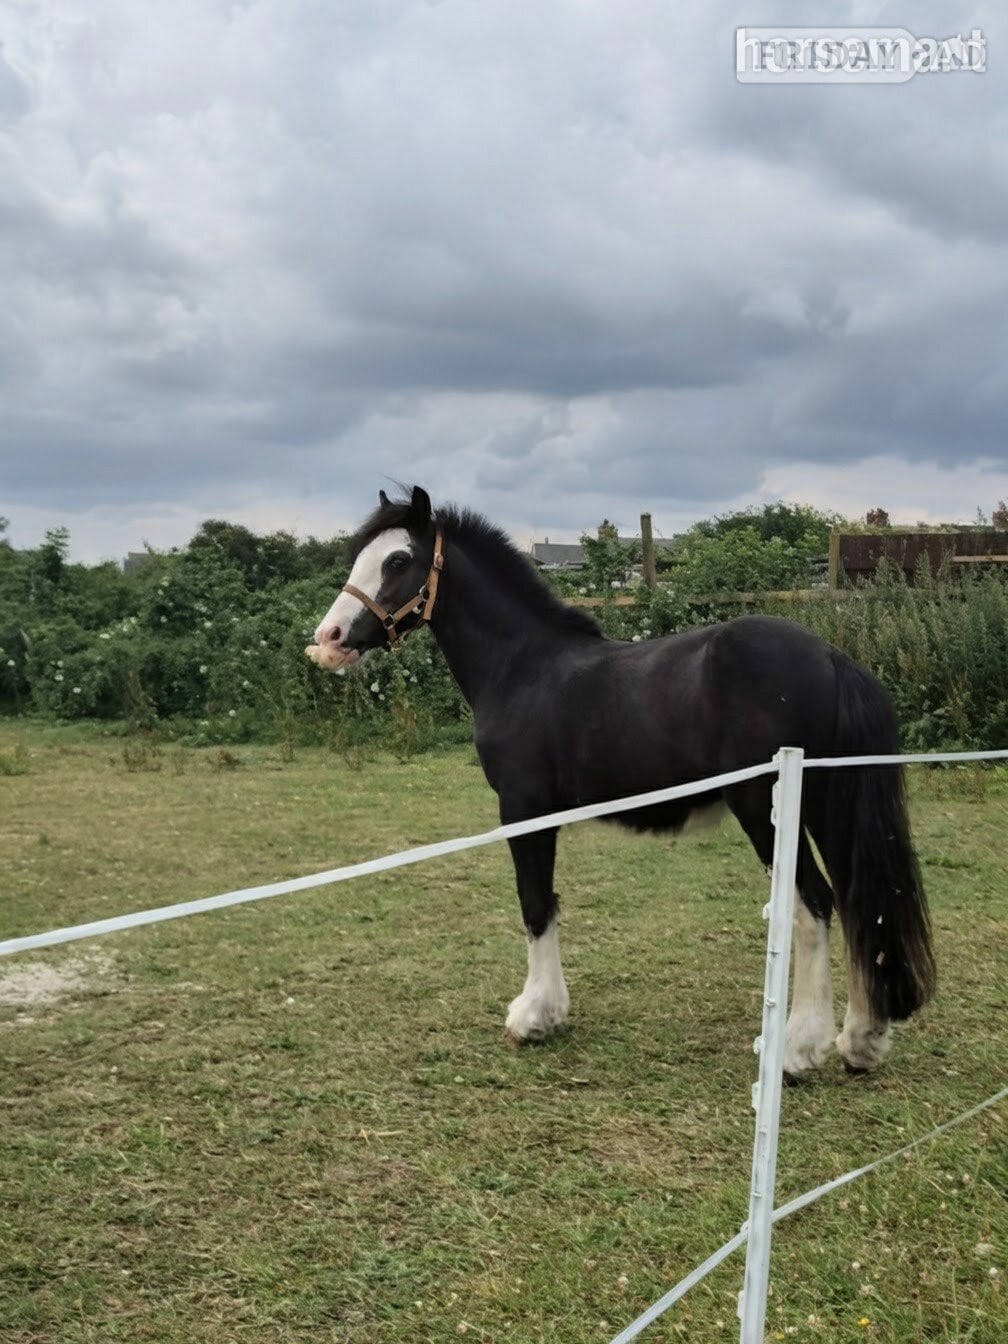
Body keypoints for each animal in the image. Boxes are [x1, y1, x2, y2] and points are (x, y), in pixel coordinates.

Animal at [307, 486, 935, 1079]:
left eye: (398, 560)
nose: (330, 637)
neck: (522, 667)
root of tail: (831, 658)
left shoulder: (523, 810)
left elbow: (535, 904)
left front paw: (534, 1016)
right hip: (829, 805)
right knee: (860, 904)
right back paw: (861, 1041)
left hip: (767, 811)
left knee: (814, 905)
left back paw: (799, 1049)